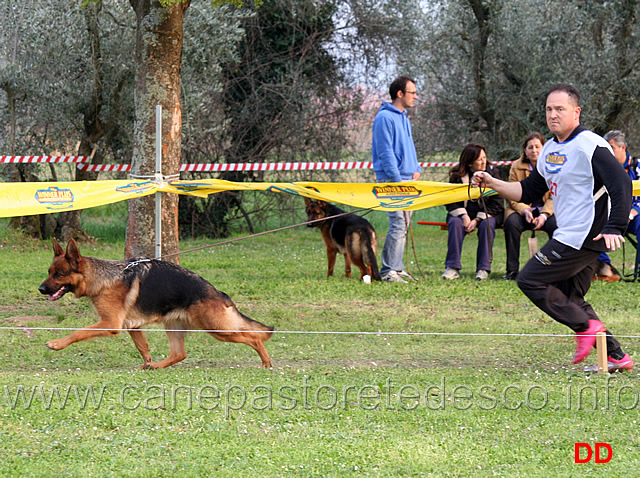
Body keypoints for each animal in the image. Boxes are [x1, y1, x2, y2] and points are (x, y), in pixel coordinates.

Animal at [37, 239, 272, 370]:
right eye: (49, 272)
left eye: (58, 274)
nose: (40, 289)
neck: (102, 278)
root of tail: (218, 293)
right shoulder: (132, 326)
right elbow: (143, 347)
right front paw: (147, 362)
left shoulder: (110, 323)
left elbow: (78, 332)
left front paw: (57, 343)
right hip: (176, 327)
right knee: (179, 354)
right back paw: (156, 366)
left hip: (217, 328)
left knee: (253, 338)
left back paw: (265, 362)